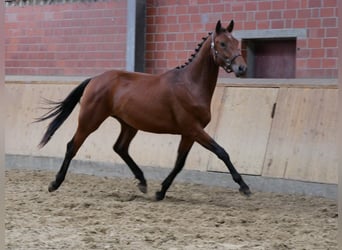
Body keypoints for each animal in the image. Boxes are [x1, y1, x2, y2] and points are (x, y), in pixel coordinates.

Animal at [37, 21, 250, 201]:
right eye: (222, 43)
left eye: (236, 41)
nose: (242, 68)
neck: (191, 85)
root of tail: (95, 79)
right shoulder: (193, 129)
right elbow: (222, 152)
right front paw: (244, 187)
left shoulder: (189, 133)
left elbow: (179, 163)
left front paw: (160, 191)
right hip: (90, 120)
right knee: (72, 146)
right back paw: (55, 183)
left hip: (128, 125)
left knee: (120, 148)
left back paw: (142, 181)